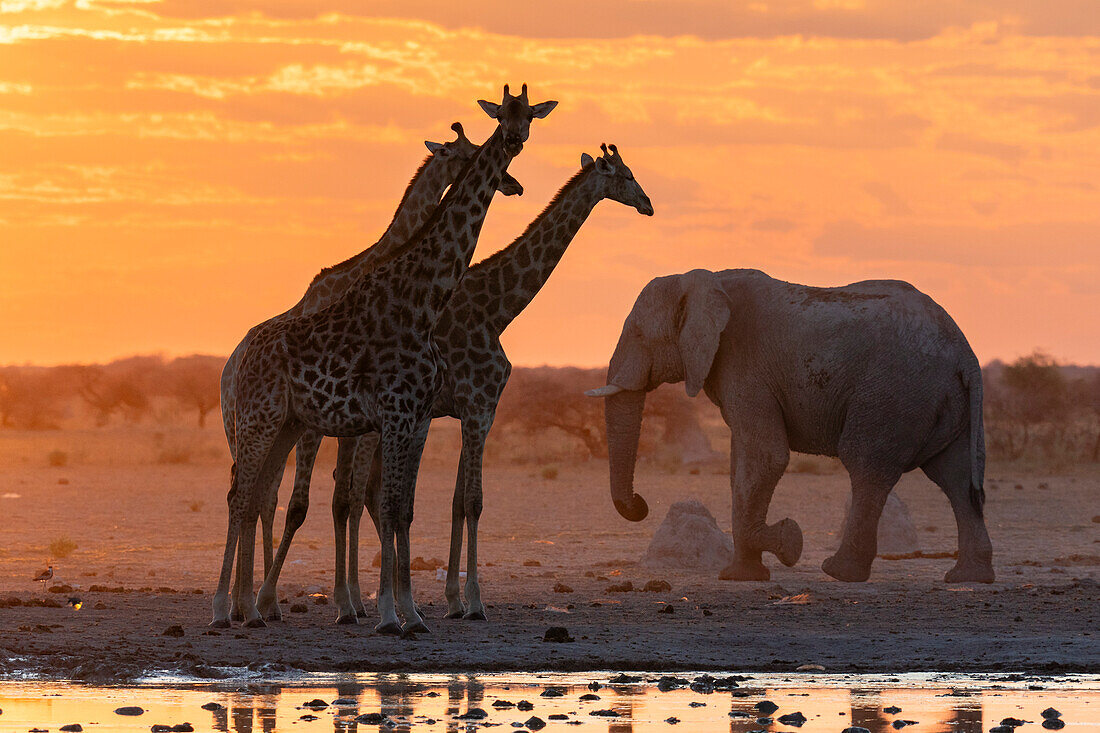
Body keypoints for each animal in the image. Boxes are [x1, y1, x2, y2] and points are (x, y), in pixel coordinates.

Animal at [212, 85, 558, 633]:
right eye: (502, 116)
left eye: (530, 116)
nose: (514, 154)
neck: (423, 297)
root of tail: (237, 361)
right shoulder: (393, 415)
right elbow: (377, 504)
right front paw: (387, 611)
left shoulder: (409, 416)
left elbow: (396, 506)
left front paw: (404, 611)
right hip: (259, 422)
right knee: (244, 496)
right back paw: (228, 608)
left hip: (284, 423)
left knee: (257, 496)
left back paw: (251, 606)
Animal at [338, 140, 651, 616]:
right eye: (627, 175)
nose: (649, 204)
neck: (498, 310)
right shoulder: (478, 407)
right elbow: (473, 501)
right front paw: (474, 601)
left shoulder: (473, 412)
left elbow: (455, 502)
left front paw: (452, 598)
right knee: (357, 496)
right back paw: (353, 602)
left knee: (358, 494)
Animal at [594, 268, 998, 581]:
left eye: (639, 334)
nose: (641, 504)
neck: (700, 279)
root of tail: (966, 352)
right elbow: (741, 463)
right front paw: (741, 576)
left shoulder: (745, 367)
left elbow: (766, 456)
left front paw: (788, 542)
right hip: (945, 400)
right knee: (957, 478)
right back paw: (967, 578)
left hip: (894, 392)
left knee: (866, 466)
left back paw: (839, 572)